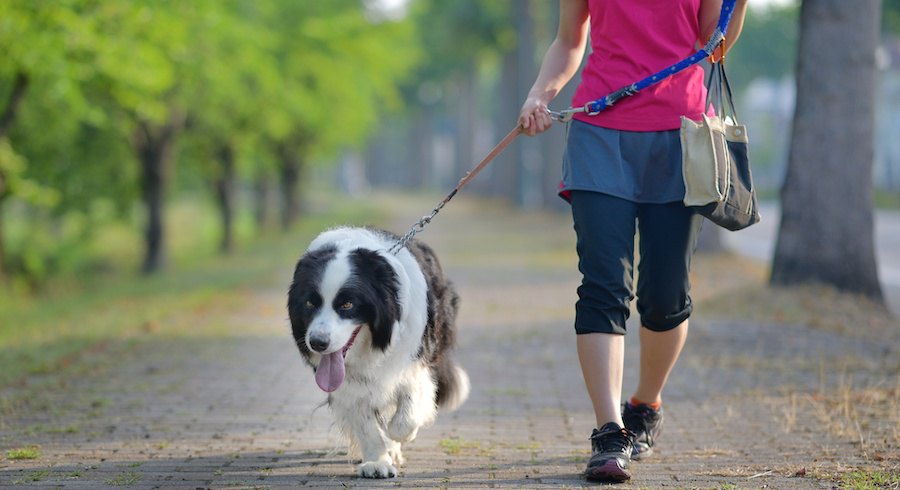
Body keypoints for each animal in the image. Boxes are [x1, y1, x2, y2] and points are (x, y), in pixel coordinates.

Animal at [288, 227, 472, 478]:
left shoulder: (415, 357)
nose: (317, 343)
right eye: (309, 303)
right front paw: (377, 462)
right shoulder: (348, 384)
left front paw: (399, 437)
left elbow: (408, 409)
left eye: (347, 305)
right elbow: (365, 421)